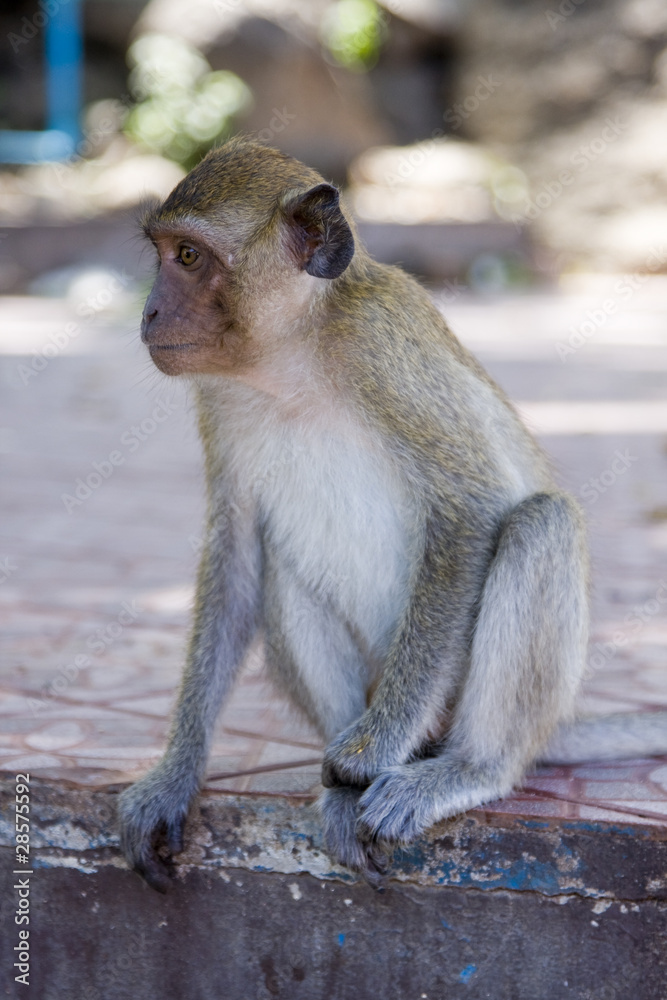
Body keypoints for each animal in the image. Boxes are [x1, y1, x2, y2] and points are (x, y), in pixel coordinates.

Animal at [117, 137, 667, 892]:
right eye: (165, 252)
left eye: (190, 257)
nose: (148, 314)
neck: (294, 359)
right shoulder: (218, 399)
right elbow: (236, 553)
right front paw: (175, 774)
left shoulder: (381, 348)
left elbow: (471, 512)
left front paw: (371, 755)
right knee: (279, 567)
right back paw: (341, 793)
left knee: (540, 524)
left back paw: (464, 768)